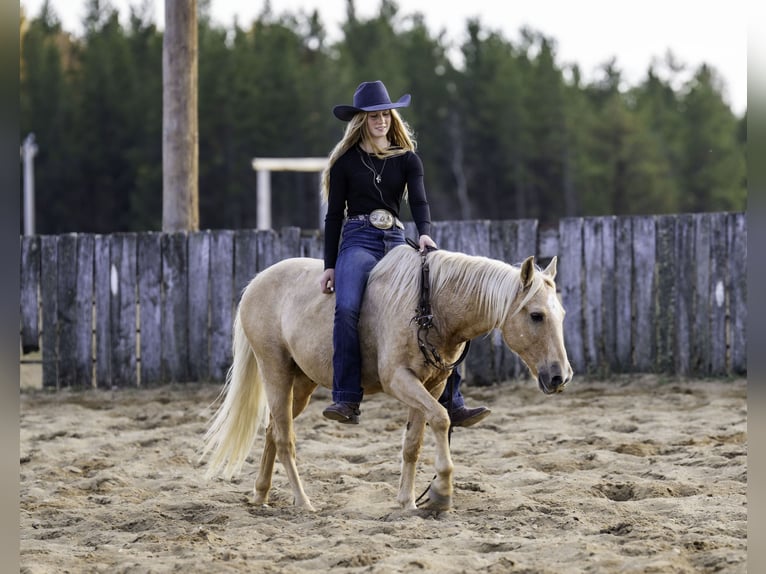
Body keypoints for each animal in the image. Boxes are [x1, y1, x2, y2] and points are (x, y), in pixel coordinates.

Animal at [201, 245, 572, 516]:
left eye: (562, 314)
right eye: (536, 315)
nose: (560, 376)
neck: (430, 305)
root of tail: (257, 282)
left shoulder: (431, 385)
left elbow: (413, 443)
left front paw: (408, 502)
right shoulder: (399, 381)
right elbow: (441, 418)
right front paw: (441, 494)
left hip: (302, 382)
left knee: (272, 430)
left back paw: (261, 495)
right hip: (274, 369)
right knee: (284, 438)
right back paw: (304, 503)